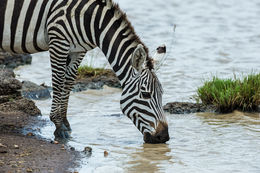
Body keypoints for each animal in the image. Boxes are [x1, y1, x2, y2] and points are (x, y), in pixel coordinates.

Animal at [0, 0, 171, 143]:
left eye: (162, 93)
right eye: (146, 94)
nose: (163, 137)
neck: (91, 21)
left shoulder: (78, 50)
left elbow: (68, 81)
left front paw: (65, 123)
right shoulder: (58, 41)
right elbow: (58, 80)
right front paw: (58, 126)